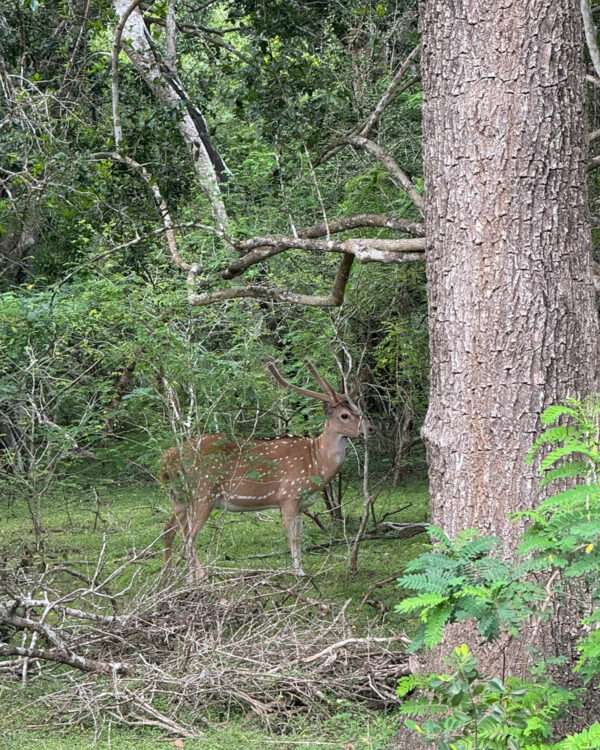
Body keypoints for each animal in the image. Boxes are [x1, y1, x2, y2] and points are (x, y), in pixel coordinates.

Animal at [159, 362, 368, 580]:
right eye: (344, 415)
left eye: (359, 411)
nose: (367, 430)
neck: (316, 463)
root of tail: (167, 459)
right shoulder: (289, 495)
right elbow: (293, 538)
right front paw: (298, 572)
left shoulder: (301, 503)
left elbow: (300, 537)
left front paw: (300, 569)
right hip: (202, 492)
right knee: (188, 537)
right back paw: (198, 575)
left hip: (178, 497)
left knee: (169, 531)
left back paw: (172, 577)